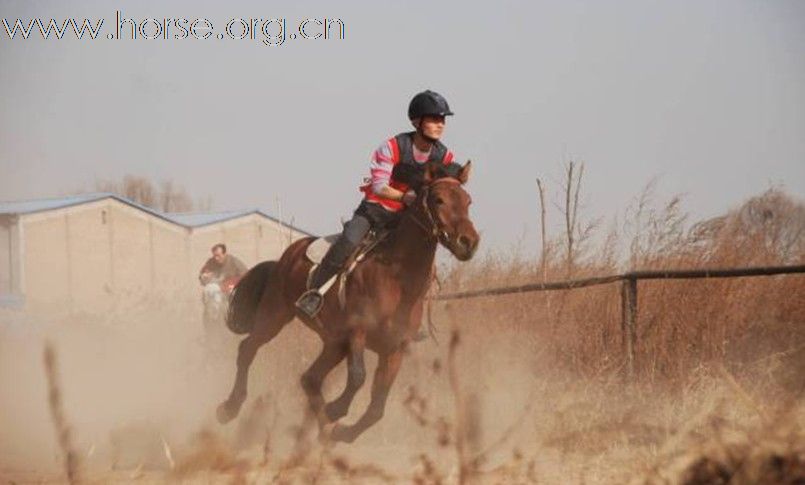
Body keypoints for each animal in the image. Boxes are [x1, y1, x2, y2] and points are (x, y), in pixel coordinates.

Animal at [215, 161, 478, 440]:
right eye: (438, 199)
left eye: (468, 201)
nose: (469, 242)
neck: (397, 281)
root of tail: (286, 256)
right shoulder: (356, 332)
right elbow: (357, 378)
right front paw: (335, 410)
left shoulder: (394, 348)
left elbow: (377, 407)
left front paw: (340, 430)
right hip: (275, 315)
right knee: (248, 349)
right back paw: (228, 409)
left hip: (333, 343)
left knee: (310, 379)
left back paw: (323, 431)